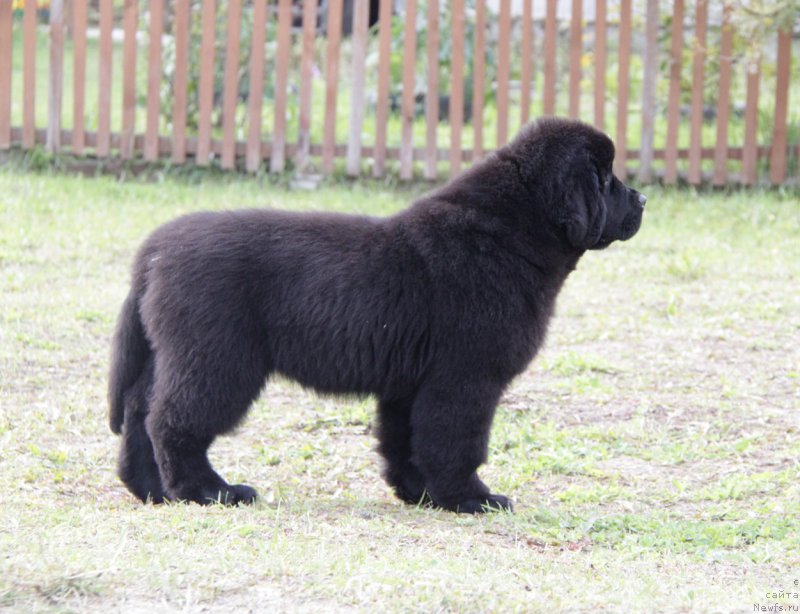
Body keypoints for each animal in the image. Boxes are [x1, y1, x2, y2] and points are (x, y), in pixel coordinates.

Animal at [108, 118, 644, 512]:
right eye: (606, 178)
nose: (641, 198)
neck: (509, 233)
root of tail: (155, 249)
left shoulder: (410, 384)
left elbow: (405, 441)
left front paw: (419, 494)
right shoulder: (465, 379)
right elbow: (457, 441)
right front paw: (470, 499)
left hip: (168, 354)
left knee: (139, 412)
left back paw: (151, 490)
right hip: (218, 360)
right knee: (173, 422)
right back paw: (211, 492)